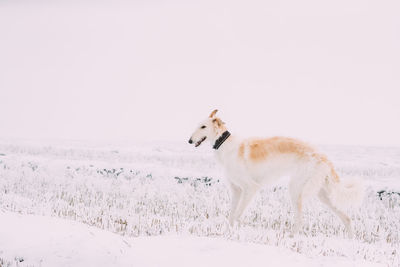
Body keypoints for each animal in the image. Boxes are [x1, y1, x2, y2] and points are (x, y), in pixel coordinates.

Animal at [189, 110, 364, 238]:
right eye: (197, 126)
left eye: (203, 127)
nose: (189, 141)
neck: (225, 144)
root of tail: (322, 156)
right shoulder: (236, 190)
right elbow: (231, 216)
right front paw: (228, 232)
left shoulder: (250, 188)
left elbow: (237, 215)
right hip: (323, 195)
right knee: (347, 218)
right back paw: (351, 240)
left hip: (296, 190)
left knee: (300, 221)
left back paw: (291, 238)